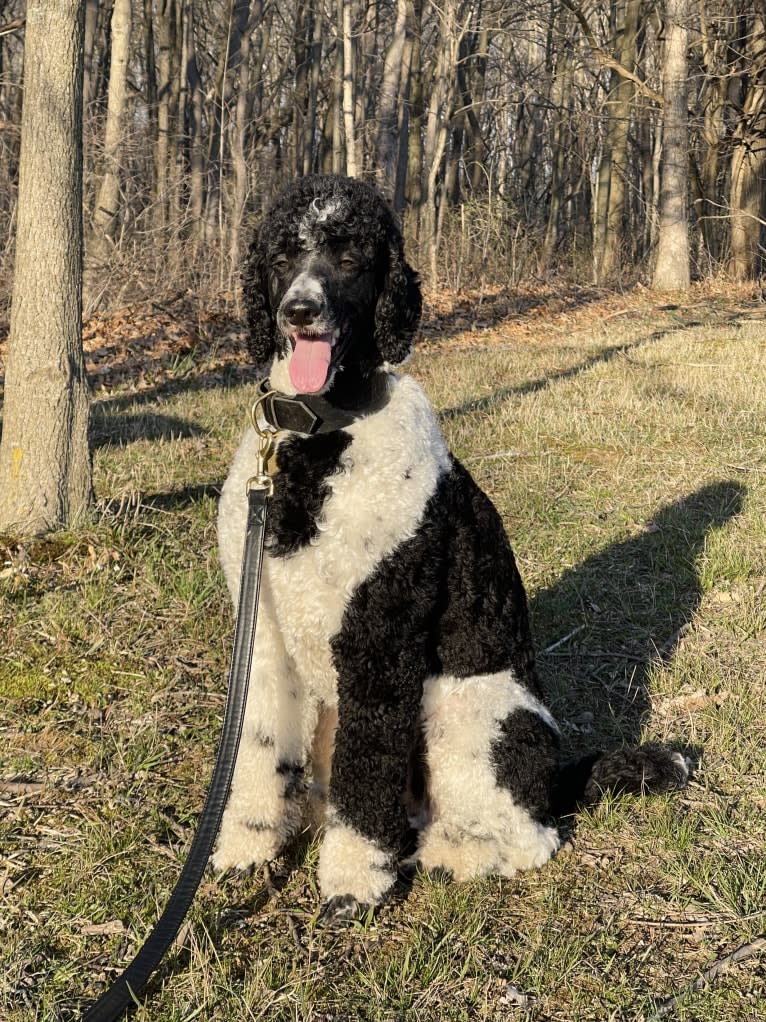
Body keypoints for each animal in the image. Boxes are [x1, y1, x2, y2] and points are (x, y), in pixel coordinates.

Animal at [211, 175, 690, 919]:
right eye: (283, 255)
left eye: (351, 256)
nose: (299, 312)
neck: (319, 440)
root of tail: (555, 777)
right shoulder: (263, 636)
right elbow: (257, 749)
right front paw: (247, 848)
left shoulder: (379, 643)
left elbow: (366, 776)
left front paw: (354, 883)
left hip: (466, 713)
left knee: (531, 835)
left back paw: (449, 855)